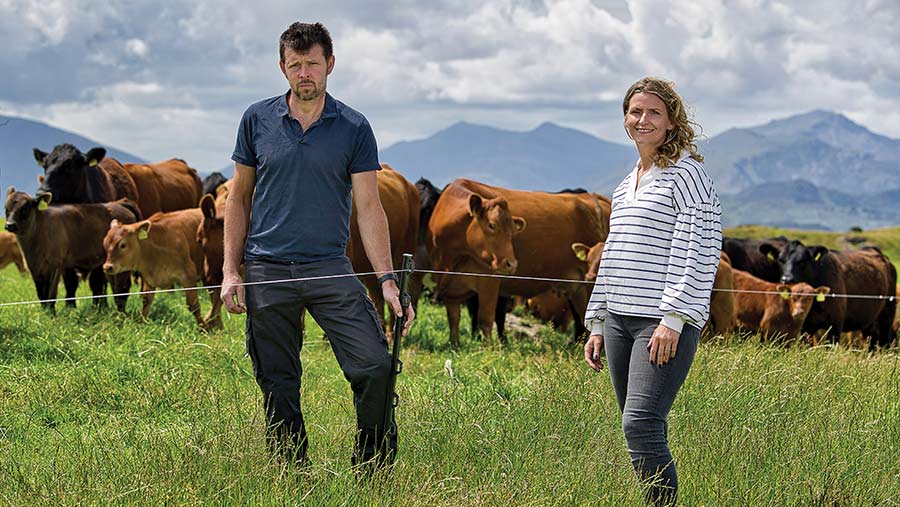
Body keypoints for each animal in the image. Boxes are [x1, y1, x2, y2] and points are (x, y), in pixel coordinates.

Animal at [4, 189, 138, 312]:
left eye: (25, 207)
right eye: (6, 208)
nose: (10, 224)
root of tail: (119, 203)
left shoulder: (55, 265)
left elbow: (51, 293)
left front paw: (51, 315)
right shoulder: (35, 268)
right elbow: (42, 294)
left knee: (122, 287)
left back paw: (120, 312)